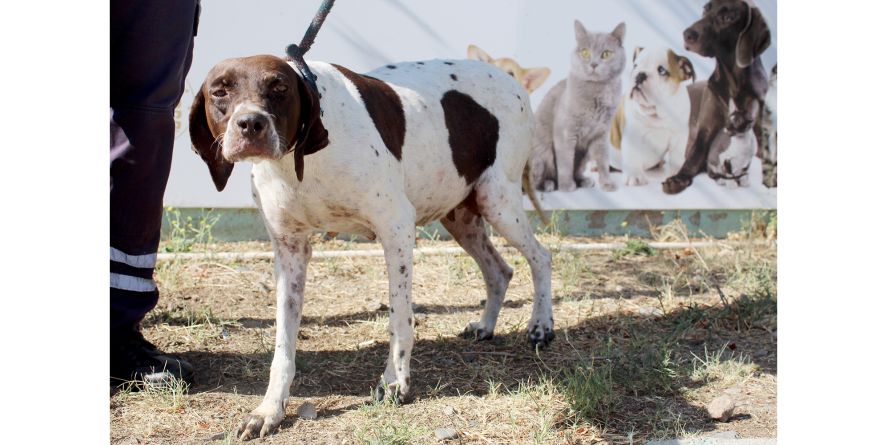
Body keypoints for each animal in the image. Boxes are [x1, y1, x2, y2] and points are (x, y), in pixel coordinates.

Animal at [190, 54, 552, 438]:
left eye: (279, 87)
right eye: (219, 91)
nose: (250, 124)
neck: (300, 161)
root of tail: (510, 79)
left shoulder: (397, 228)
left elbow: (400, 320)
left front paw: (395, 382)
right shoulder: (290, 252)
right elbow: (283, 347)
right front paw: (270, 409)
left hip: (498, 201)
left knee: (541, 257)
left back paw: (541, 326)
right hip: (462, 217)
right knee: (500, 270)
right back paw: (486, 325)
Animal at [664, 0, 772, 194]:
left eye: (728, 17)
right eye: (705, 9)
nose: (687, 34)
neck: (734, 83)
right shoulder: (705, 133)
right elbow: (694, 157)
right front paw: (678, 178)